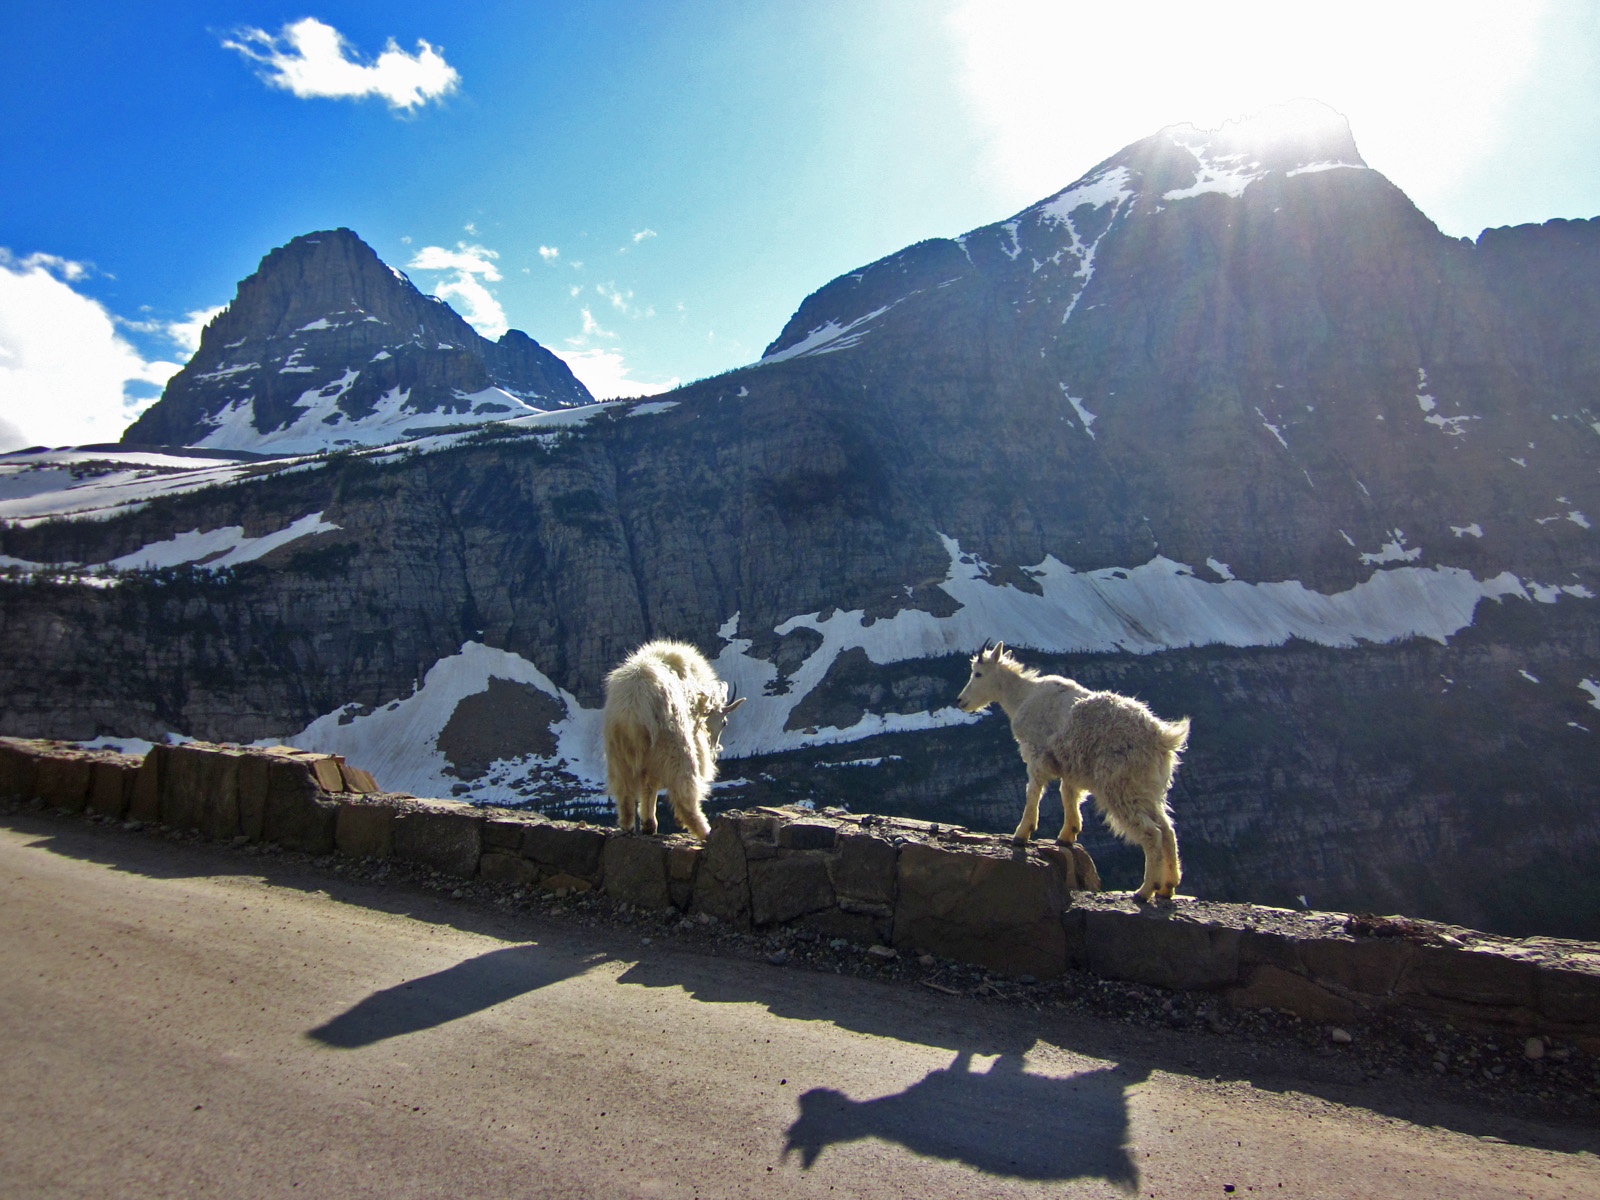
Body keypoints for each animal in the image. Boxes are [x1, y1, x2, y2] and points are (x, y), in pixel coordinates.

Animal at [601, 643, 745, 838]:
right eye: (724, 722)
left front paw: (648, 825)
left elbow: (648, 786)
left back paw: (631, 826)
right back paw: (704, 831)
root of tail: (635, 707)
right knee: (684, 791)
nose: (714, 753)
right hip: (675, 746)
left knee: (625, 790)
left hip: (618, 753)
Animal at [947, 643, 1190, 896]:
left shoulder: (1036, 753)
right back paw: (1168, 886)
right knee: (1167, 829)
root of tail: (1162, 739)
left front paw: (1022, 833)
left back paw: (1145, 891)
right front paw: (1066, 835)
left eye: (978, 674)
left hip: (1119, 783)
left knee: (1152, 832)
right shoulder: (1070, 765)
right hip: (1147, 786)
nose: (961, 700)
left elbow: (1033, 792)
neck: (1022, 695)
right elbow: (1067, 794)